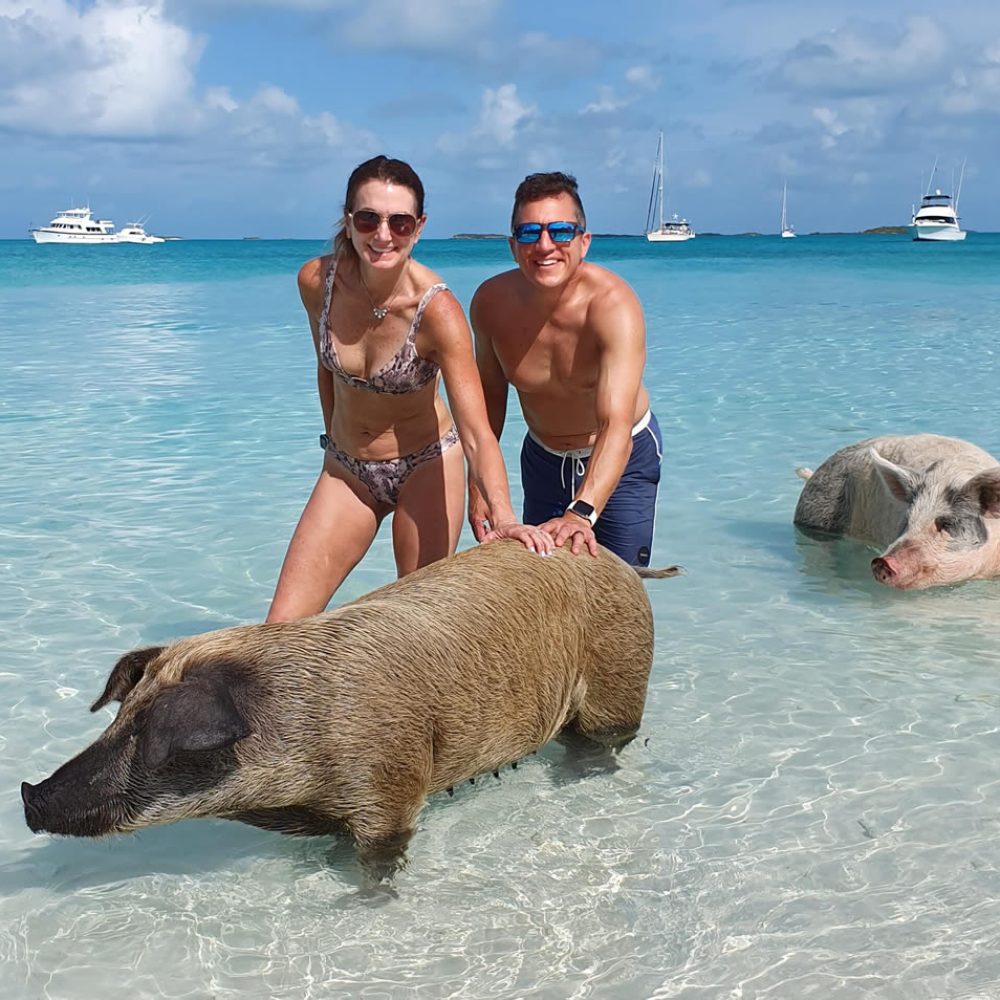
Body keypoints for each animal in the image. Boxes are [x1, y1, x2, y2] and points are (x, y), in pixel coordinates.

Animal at [21, 544, 680, 880]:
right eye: (118, 717)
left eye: (150, 735)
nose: (28, 792)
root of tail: (623, 563)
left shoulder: (391, 783)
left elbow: (382, 853)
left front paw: (372, 897)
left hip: (622, 674)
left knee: (605, 740)